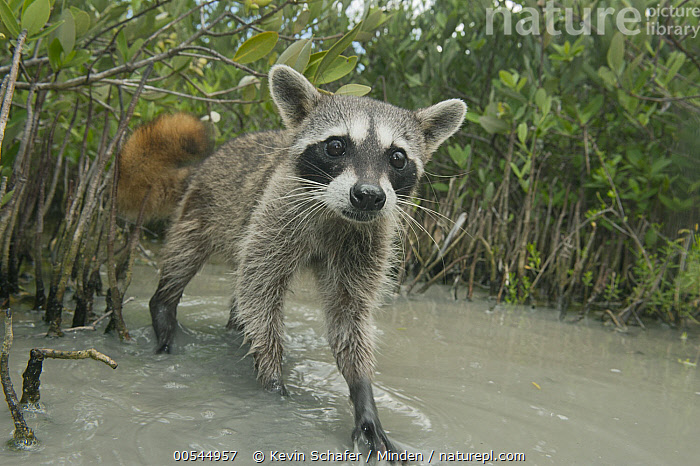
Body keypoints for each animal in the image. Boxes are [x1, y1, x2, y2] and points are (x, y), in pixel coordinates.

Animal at [118, 64, 466, 455]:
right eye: (336, 146)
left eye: (397, 158)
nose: (368, 195)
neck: (335, 213)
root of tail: (207, 163)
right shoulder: (278, 209)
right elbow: (261, 292)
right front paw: (273, 385)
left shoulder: (367, 237)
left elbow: (349, 316)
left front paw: (362, 392)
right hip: (204, 208)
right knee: (188, 257)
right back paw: (164, 308)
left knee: (241, 300)